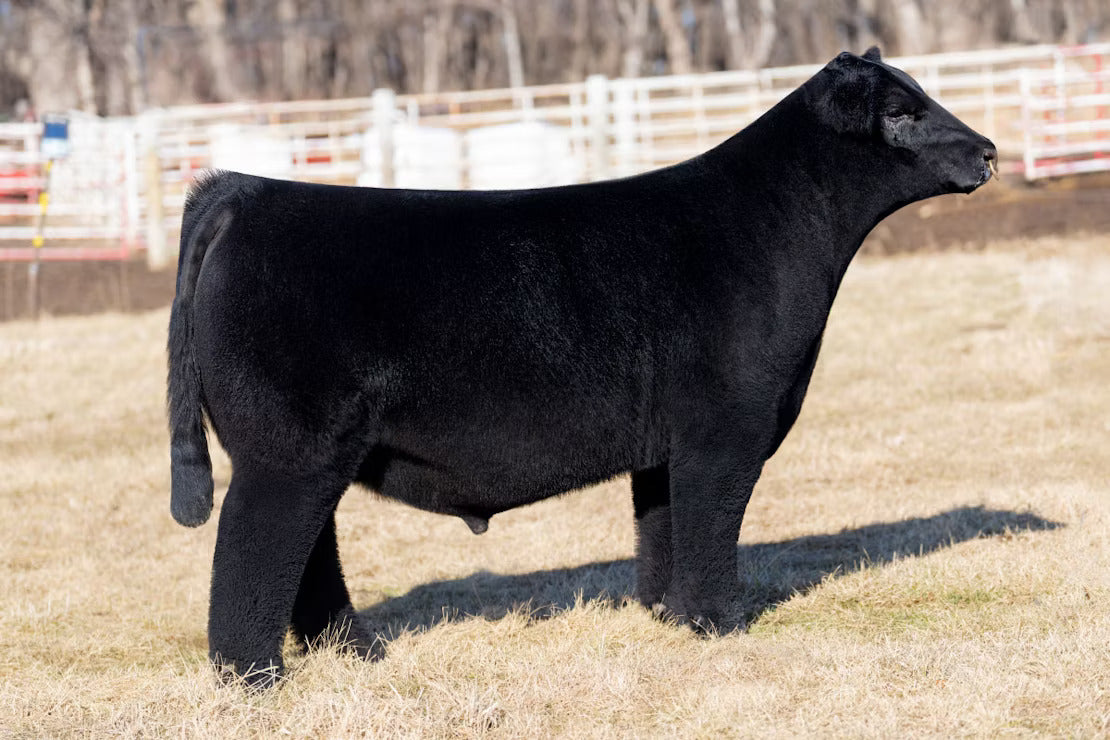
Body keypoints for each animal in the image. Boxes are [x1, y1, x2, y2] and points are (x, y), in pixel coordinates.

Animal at [168, 47, 996, 687]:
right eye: (901, 113)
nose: (988, 151)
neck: (775, 226)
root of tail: (245, 192)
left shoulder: (666, 445)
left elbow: (663, 528)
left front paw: (667, 615)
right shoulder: (726, 427)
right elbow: (711, 524)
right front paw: (720, 624)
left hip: (306, 453)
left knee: (309, 552)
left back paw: (357, 651)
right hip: (286, 450)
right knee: (252, 548)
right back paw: (254, 678)